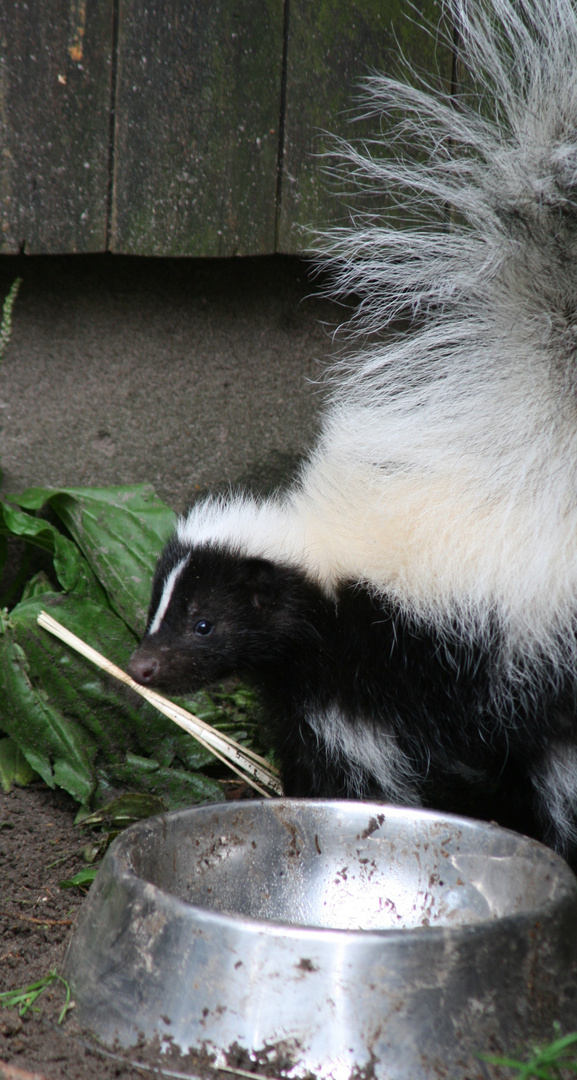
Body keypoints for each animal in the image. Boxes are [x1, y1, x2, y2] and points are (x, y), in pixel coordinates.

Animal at [130, 0, 577, 859]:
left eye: (206, 623)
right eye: (157, 608)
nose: (142, 667)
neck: (327, 560)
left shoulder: (408, 656)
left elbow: (390, 763)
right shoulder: (323, 679)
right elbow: (325, 754)